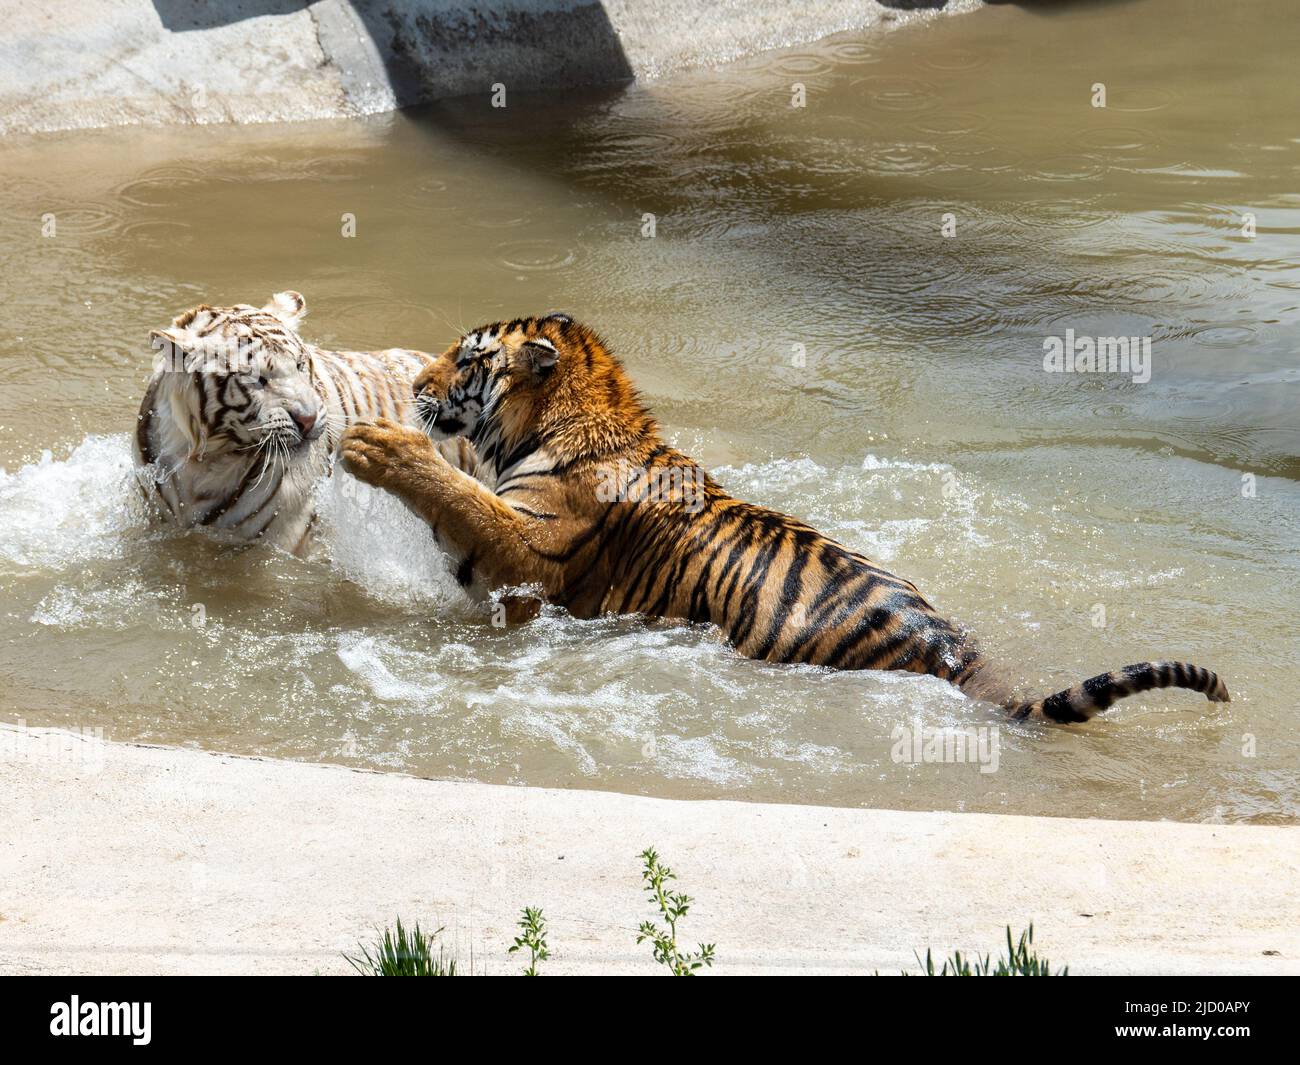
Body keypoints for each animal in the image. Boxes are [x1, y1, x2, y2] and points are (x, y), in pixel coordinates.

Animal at [339, 314, 1230, 723]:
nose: (415, 382)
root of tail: (957, 654)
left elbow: (459, 496)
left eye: (467, 357)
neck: (560, 422)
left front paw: (374, 443)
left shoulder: (530, 556)